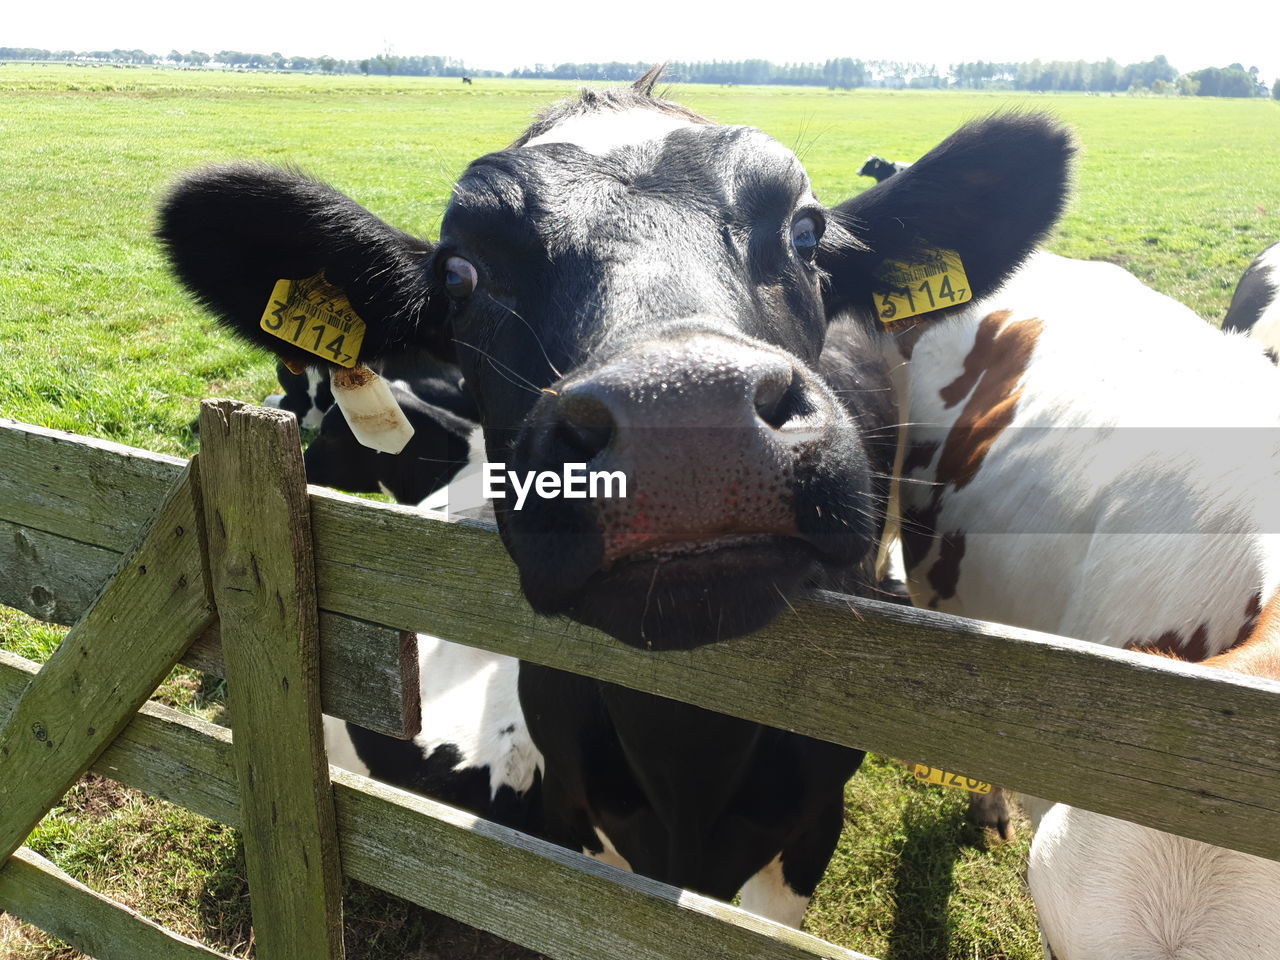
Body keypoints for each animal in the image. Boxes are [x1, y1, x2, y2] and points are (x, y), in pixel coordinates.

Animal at [160, 67, 1075, 926]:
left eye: (806, 230)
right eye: (460, 273)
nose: (685, 410)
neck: (687, 763)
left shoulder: (811, 832)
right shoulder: (582, 825)